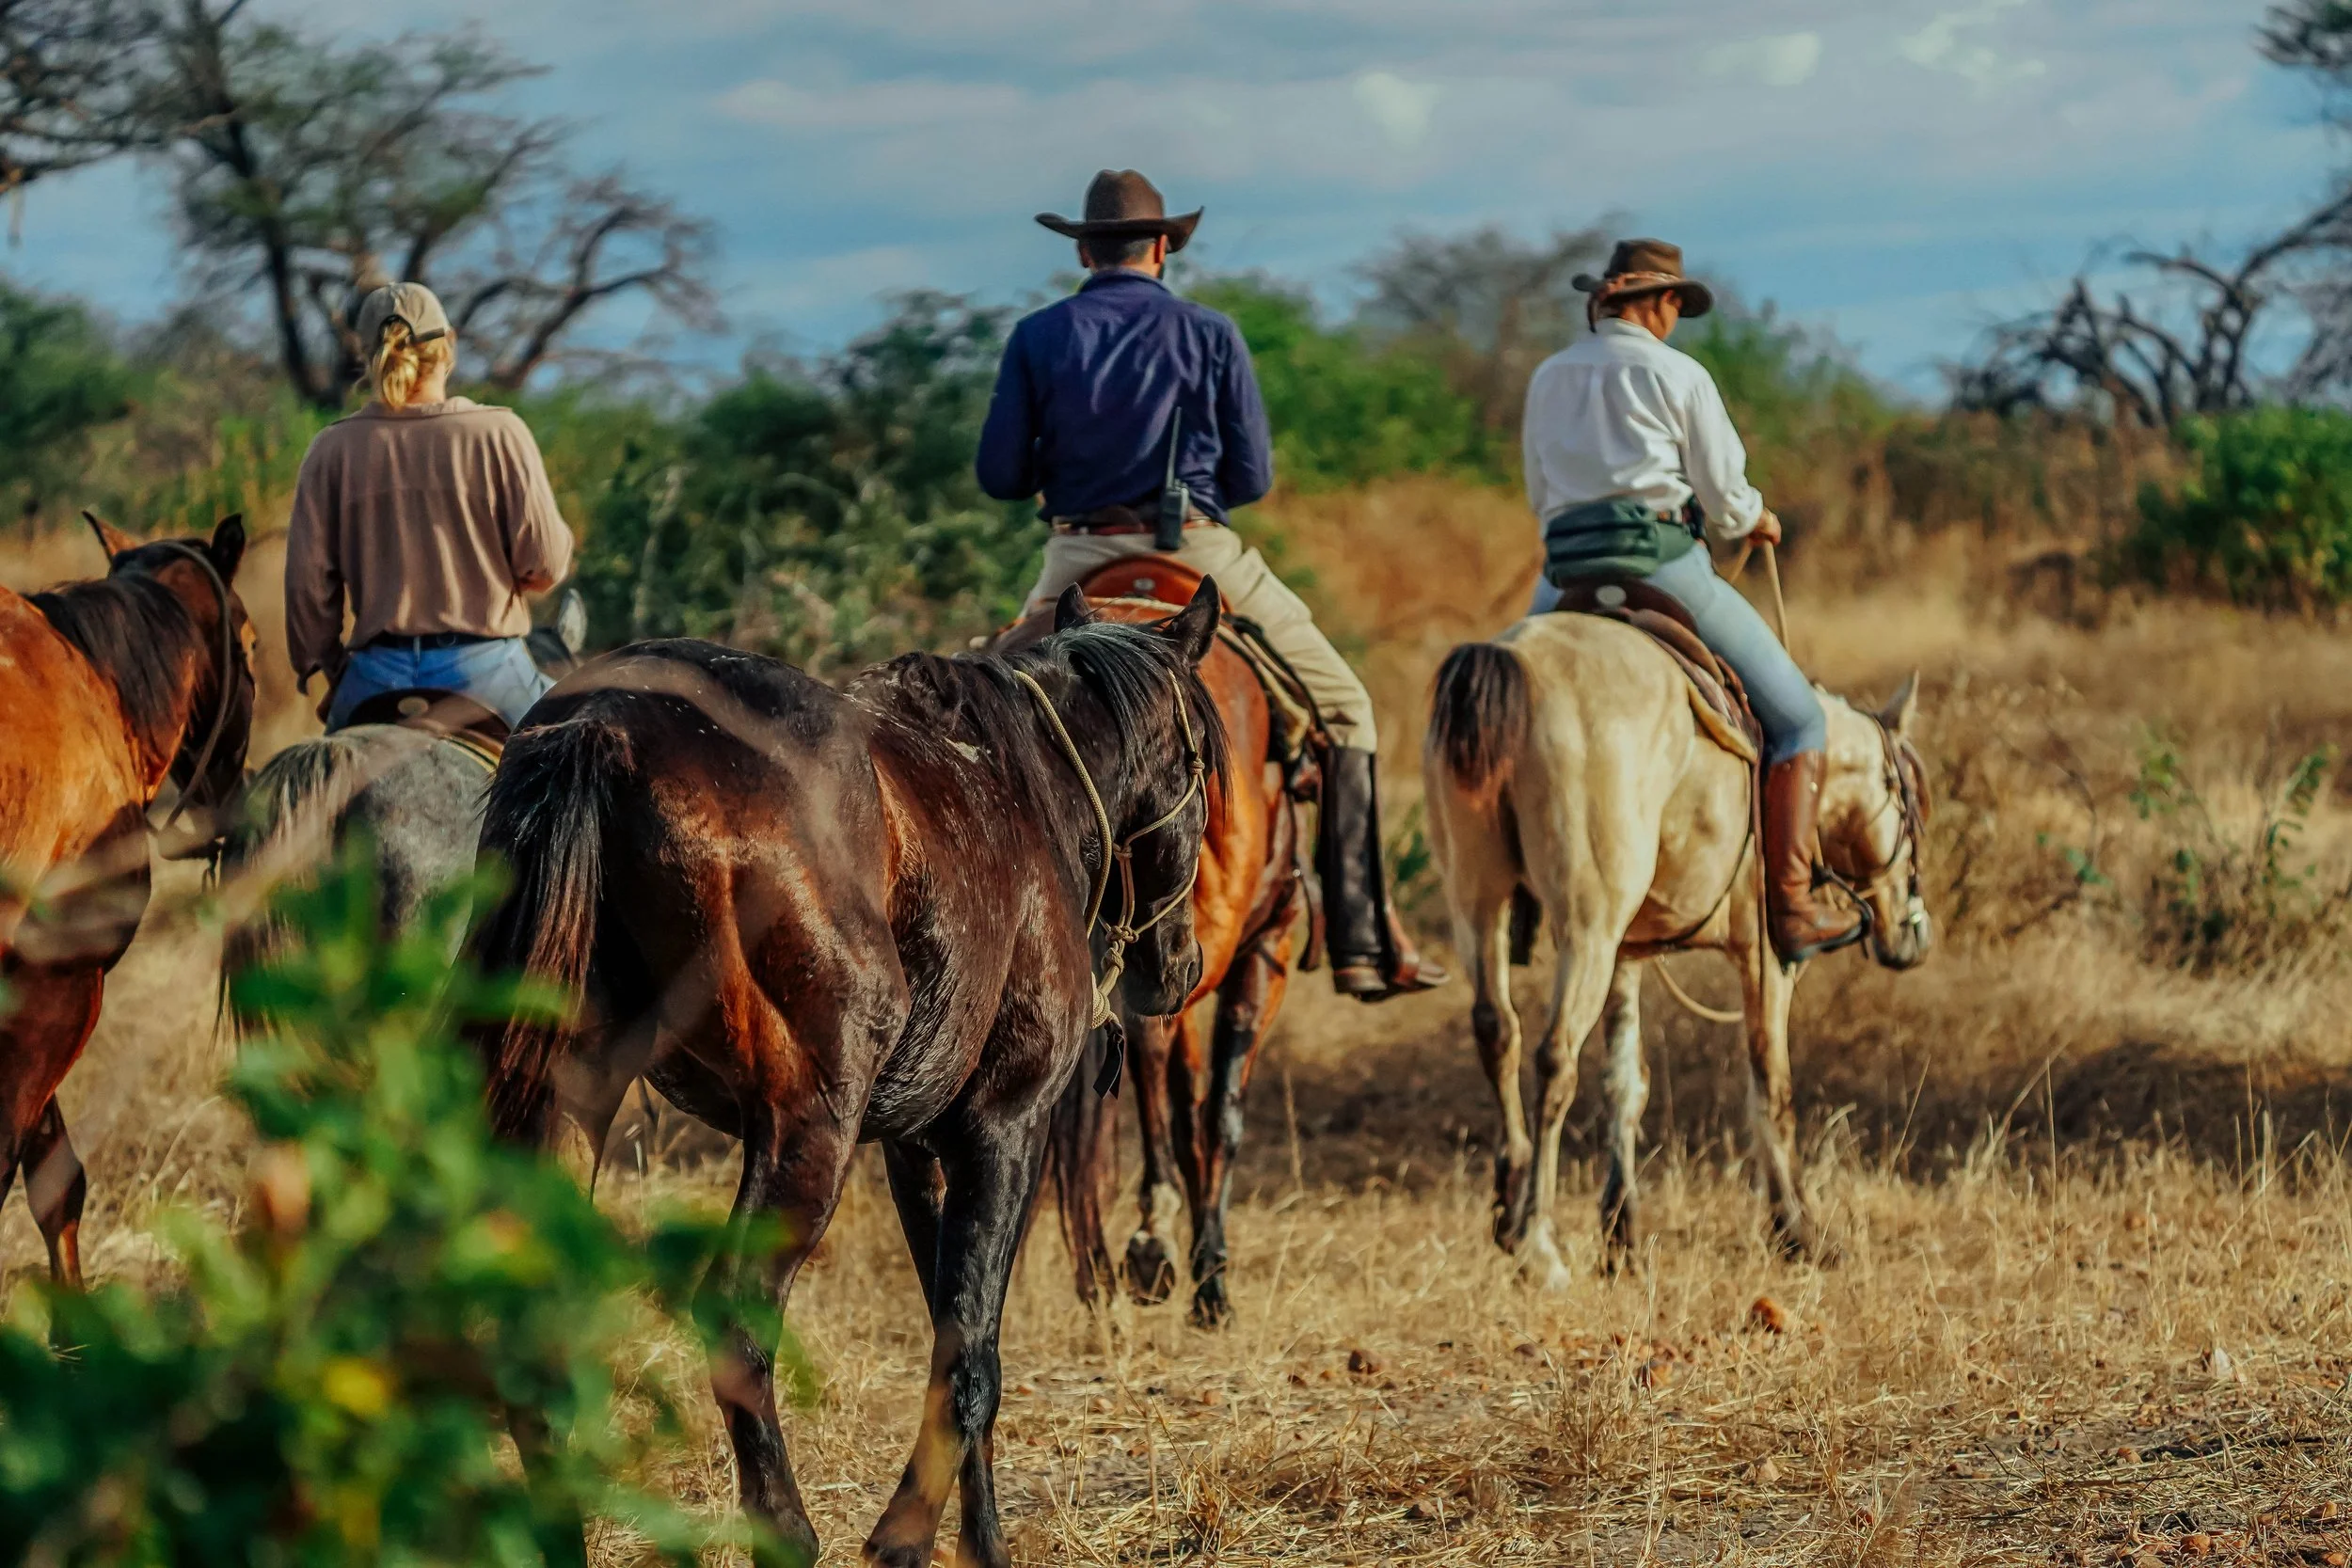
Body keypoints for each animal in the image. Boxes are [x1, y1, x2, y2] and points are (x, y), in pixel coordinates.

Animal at [466, 582, 1226, 1568]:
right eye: (1203, 758)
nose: (1180, 966)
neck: (1026, 789)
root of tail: (606, 726)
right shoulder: (1005, 1131)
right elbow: (973, 1357)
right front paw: (909, 1534)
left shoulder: (916, 1152)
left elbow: (955, 1337)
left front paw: (978, 1538)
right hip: (806, 1132)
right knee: (739, 1317)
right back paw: (784, 1527)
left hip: (571, 1103)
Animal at [1423, 612, 1930, 1283]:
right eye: (1914, 803)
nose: (1913, 936)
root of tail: (1515, 662)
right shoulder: (1765, 958)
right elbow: (1771, 1086)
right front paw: (1799, 1230)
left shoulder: (1625, 957)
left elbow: (1625, 1083)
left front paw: (1621, 1237)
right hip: (1585, 926)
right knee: (1555, 1056)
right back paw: (1538, 1242)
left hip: (1477, 902)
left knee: (1497, 1030)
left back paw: (1511, 1208)